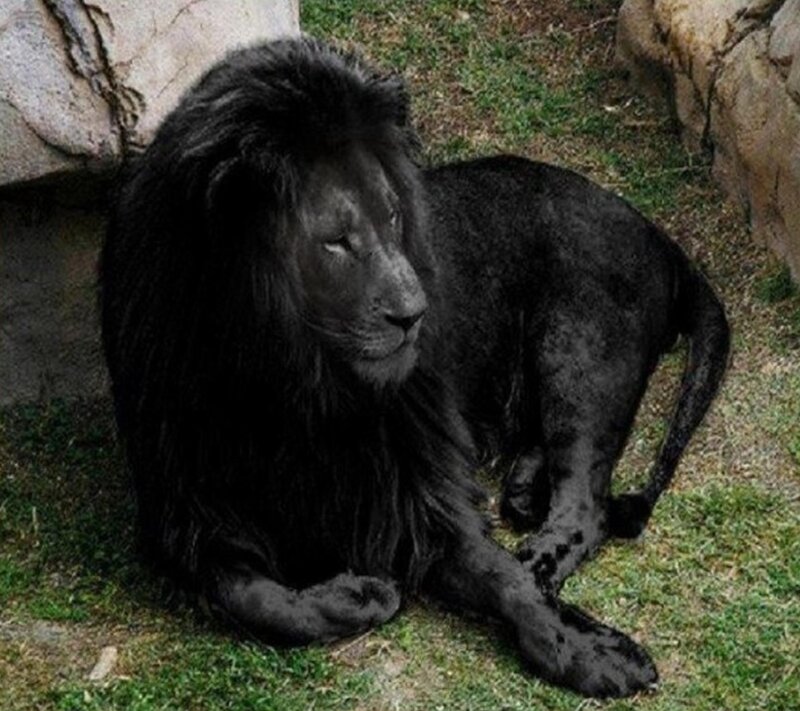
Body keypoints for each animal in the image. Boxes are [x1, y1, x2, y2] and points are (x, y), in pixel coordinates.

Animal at [100, 37, 728, 698]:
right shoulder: (187, 510)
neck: (295, 386)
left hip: (582, 351)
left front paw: (588, 650)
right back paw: (523, 486)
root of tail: (660, 234)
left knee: (589, 505)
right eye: (336, 240)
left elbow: (505, 581)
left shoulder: (418, 493)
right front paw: (361, 597)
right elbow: (253, 597)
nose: (415, 314)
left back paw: (539, 554)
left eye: (396, 217)